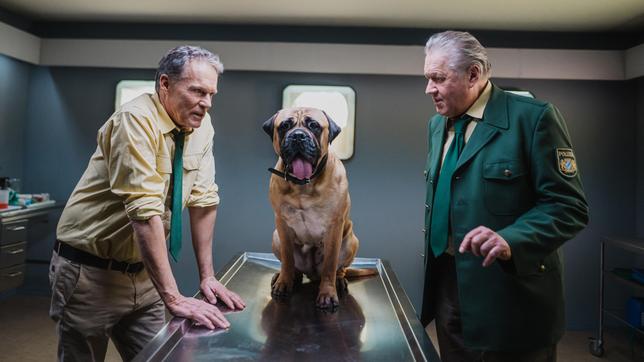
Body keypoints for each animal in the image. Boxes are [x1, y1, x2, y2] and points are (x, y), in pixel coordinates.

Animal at [264, 107, 370, 308]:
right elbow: (287, 260)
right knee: (293, 267)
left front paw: (327, 294)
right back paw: (286, 277)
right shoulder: (281, 224)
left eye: (314, 125)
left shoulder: (334, 227)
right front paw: (284, 282)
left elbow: (330, 264)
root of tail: (312, 274)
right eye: (284, 126)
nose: (298, 136)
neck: (303, 185)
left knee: (339, 269)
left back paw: (339, 281)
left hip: (351, 242)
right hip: (275, 237)